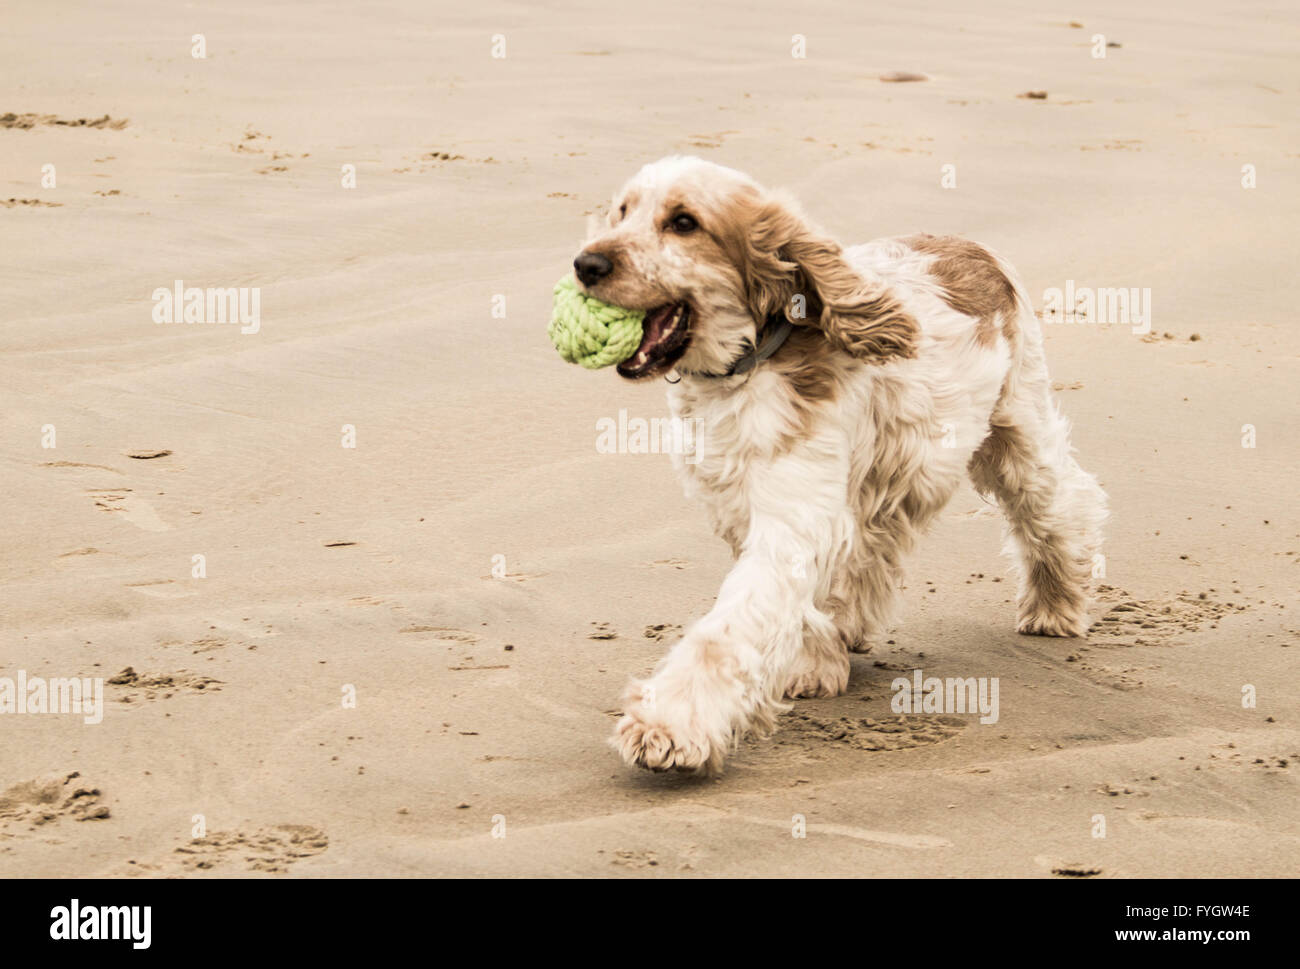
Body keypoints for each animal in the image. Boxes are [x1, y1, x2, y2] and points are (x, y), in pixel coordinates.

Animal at [572, 154, 1107, 775]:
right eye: (622, 211)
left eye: (684, 222)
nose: (586, 264)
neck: (746, 370)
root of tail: (974, 247)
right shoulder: (753, 508)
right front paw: (814, 664)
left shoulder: (790, 518)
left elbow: (726, 631)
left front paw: (669, 726)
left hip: (1016, 431)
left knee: (1060, 506)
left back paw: (1055, 606)